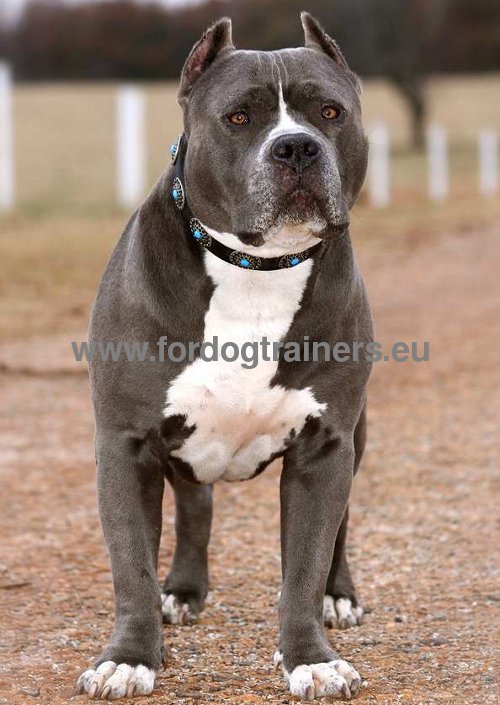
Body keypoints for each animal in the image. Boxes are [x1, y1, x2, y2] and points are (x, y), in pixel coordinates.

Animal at [77, 13, 372, 700]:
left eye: (330, 112)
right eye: (239, 117)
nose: (296, 148)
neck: (254, 270)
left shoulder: (325, 447)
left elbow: (306, 562)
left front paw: (309, 657)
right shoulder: (126, 444)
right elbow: (131, 566)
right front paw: (129, 657)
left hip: (359, 437)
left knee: (340, 528)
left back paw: (339, 596)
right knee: (195, 503)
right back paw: (183, 590)